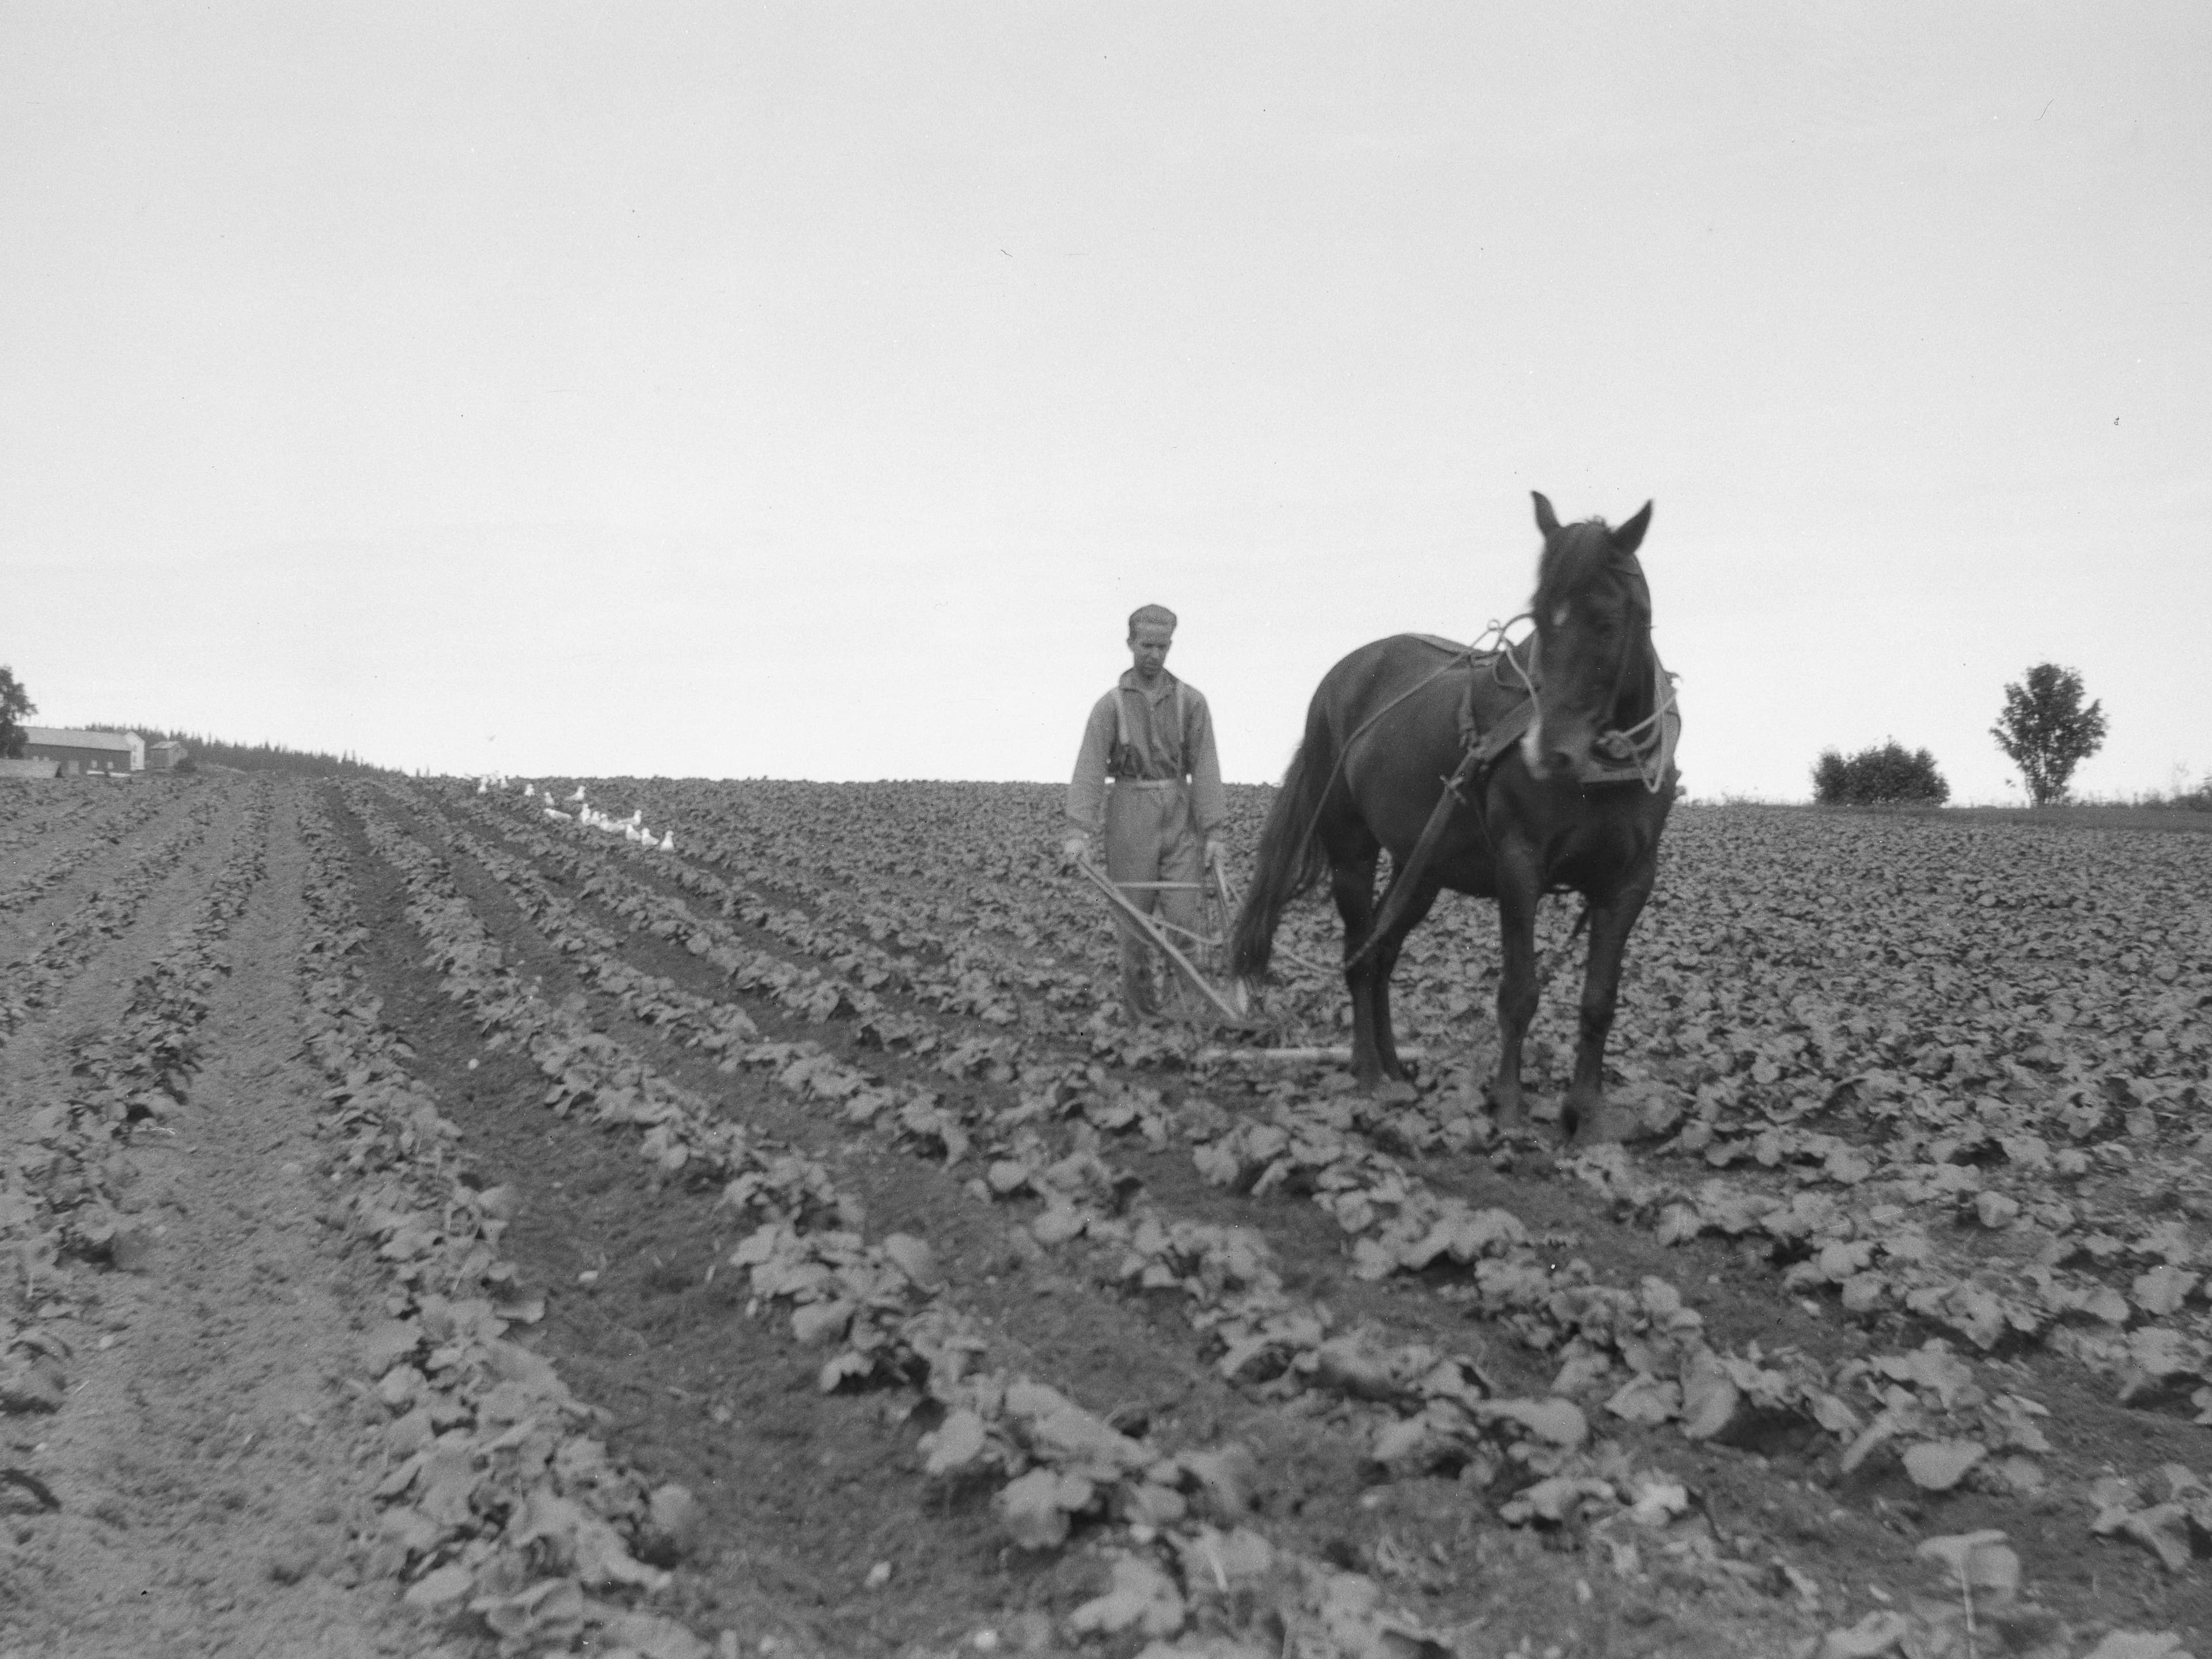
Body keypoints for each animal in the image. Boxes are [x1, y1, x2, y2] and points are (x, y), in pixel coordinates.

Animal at [1230, 486, 1672, 1150]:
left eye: (1608, 620)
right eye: (1539, 615)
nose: (1547, 754)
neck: (1604, 766)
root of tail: (1340, 677)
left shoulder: (1629, 881)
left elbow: (1599, 1000)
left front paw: (1587, 1115)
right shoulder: (1520, 865)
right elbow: (1519, 992)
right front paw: (1509, 1107)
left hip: (1423, 867)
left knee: (1384, 953)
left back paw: (1393, 1065)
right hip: (1352, 850)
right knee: (1359, 955)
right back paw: (1368, 1073)